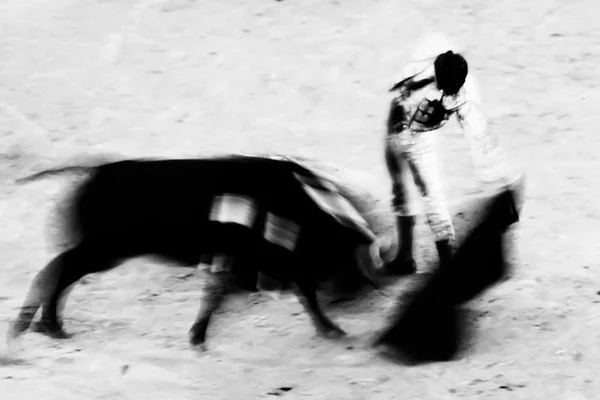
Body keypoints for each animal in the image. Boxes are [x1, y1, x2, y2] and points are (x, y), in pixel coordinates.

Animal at [7, 155, 384, 350]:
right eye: (341, 254)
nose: (360, 294)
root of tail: (93, 170)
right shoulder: (253, 261)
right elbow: (300, 295)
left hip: (102, 252)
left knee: (61, 272)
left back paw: (43, 325)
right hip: (105, 250)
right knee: (57, 270)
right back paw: (41, 325)